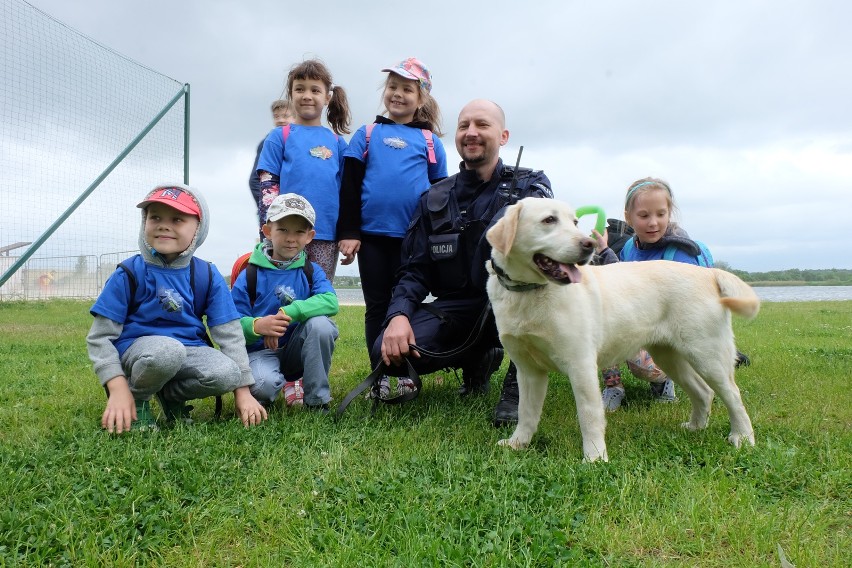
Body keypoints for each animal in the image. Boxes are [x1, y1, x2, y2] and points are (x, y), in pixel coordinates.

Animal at [486, 197, 760, 460]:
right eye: (549, 220)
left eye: (574, 222)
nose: (589, 244)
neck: (528, 292)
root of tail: (708, 274)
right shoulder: (527, 370)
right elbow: (526, 412)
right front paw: (517, 444)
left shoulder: (580, 364)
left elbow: (589, 415)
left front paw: (595, 457)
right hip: (670, 357)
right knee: (703, 392)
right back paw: (695, 428)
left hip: (707, 356)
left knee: (733, 396)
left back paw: (742, 437)